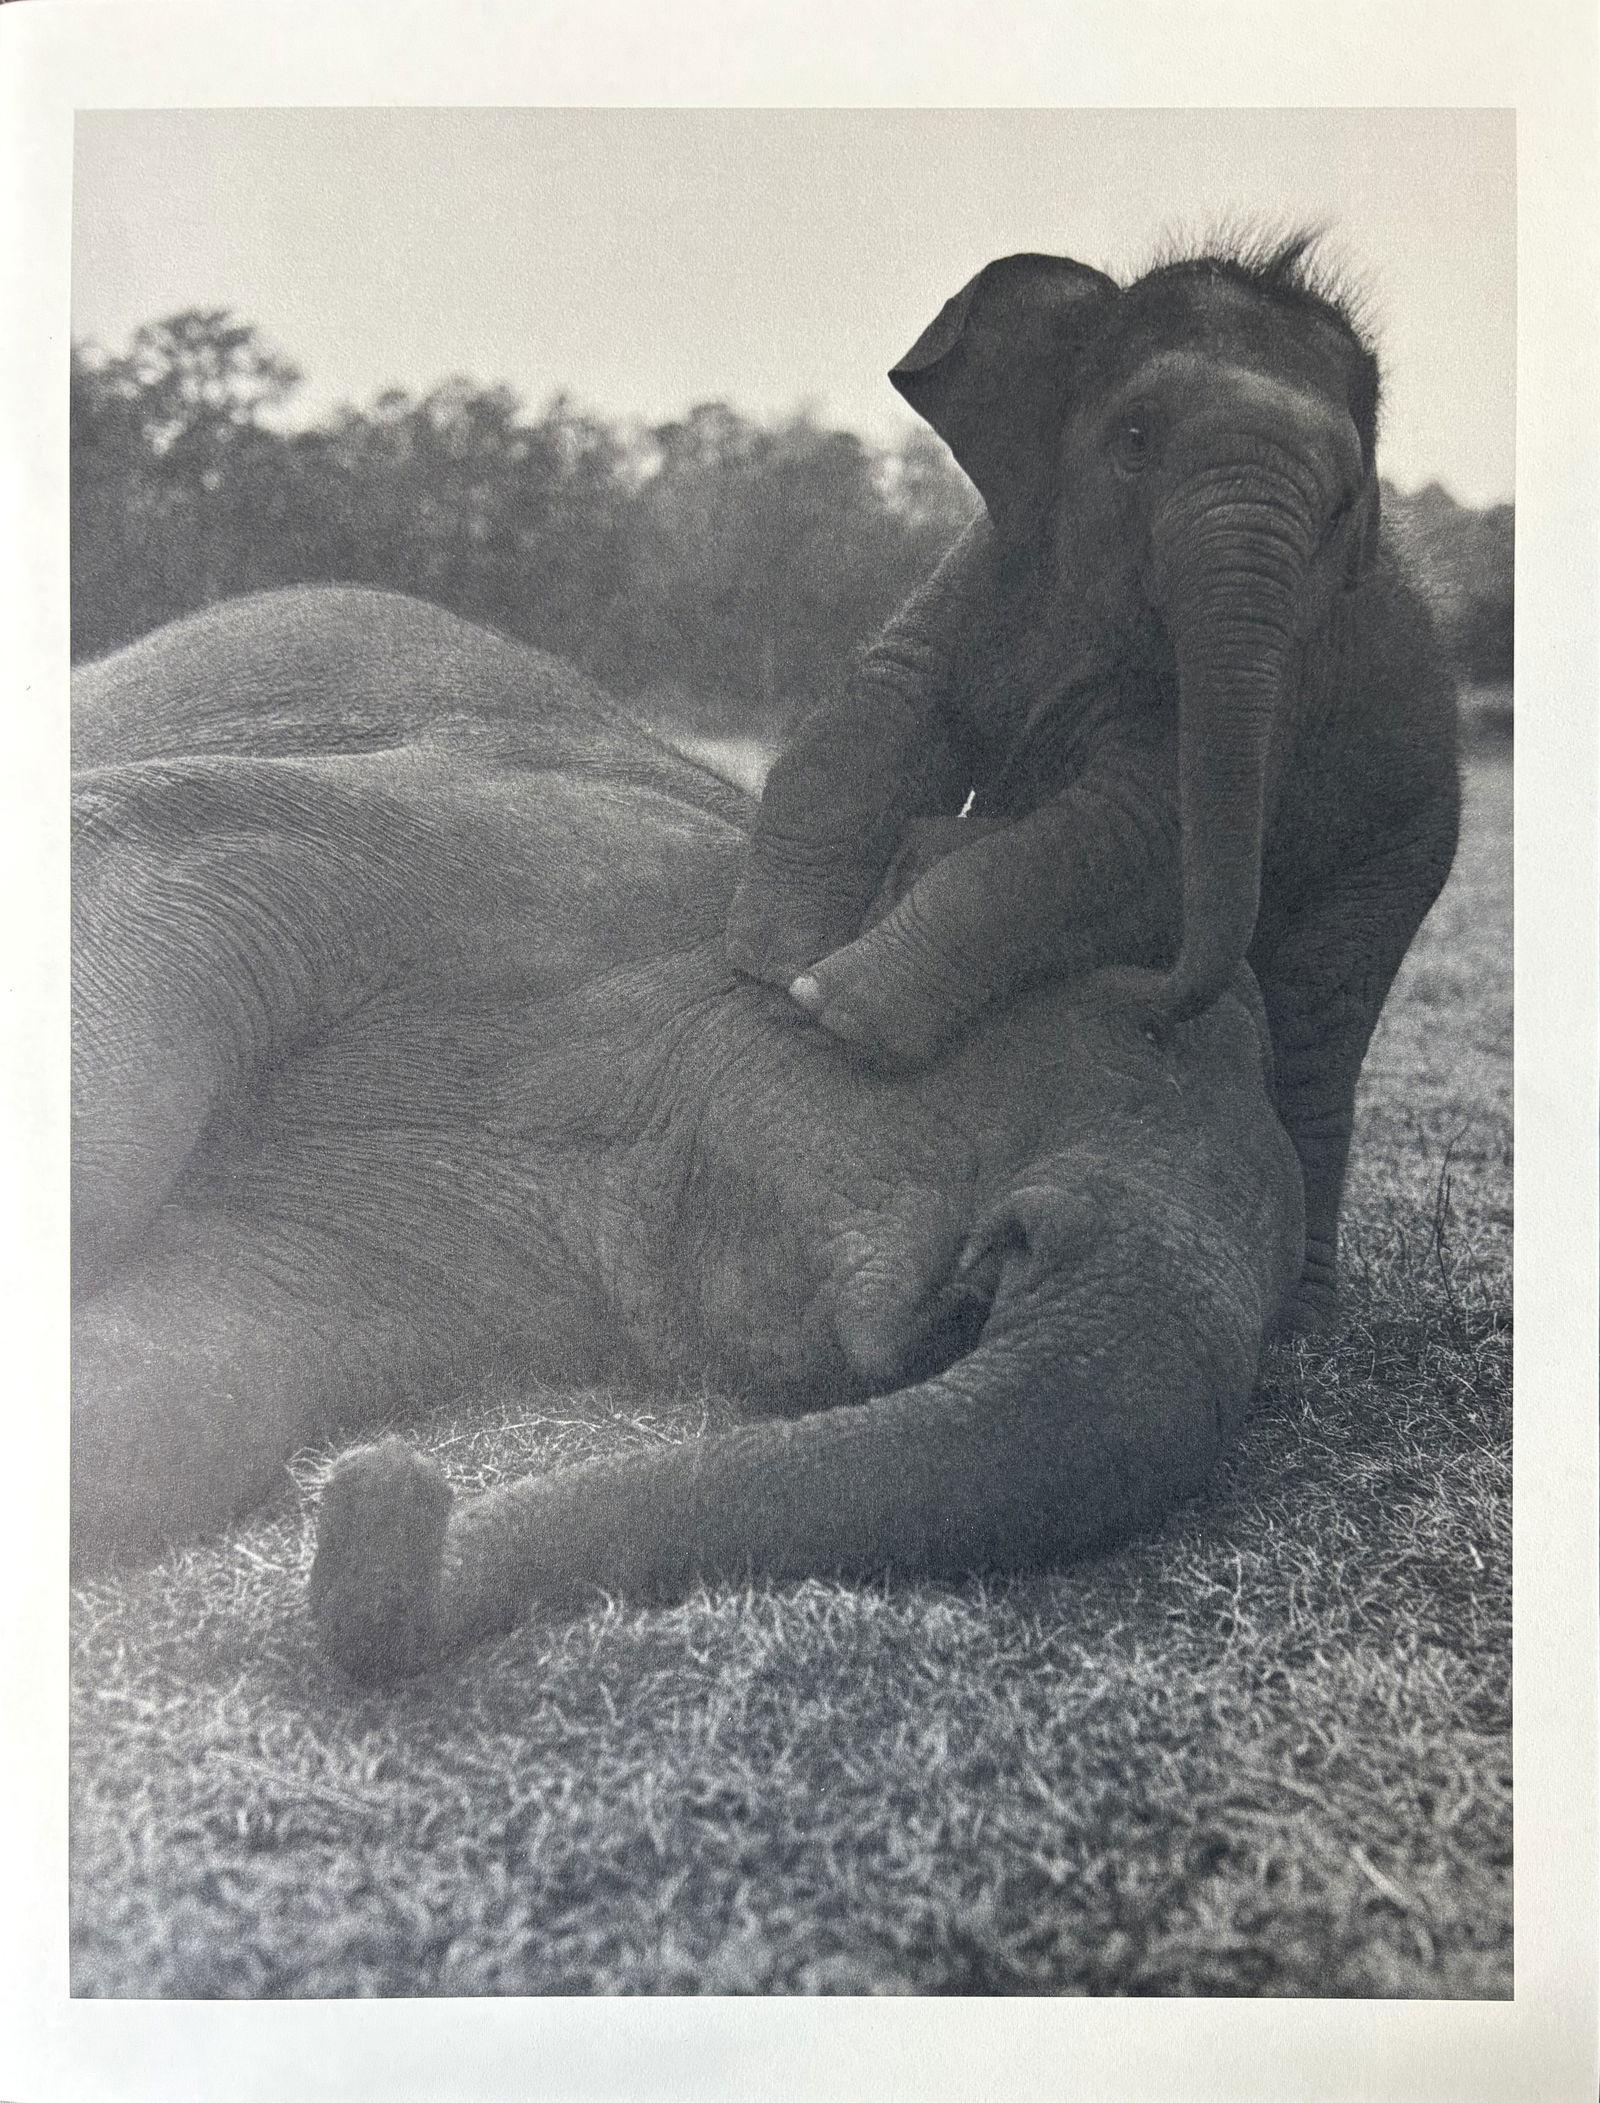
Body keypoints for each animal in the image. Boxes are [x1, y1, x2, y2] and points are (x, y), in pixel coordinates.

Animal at [726, 234, 1461, 1326]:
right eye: (1134, 439)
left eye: (1340, 506)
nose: (1150, 1013)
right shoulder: (987, 559)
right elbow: (874, 717)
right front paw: (773, 974)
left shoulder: (1292, 668)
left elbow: (1134, 836)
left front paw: (838, 1009)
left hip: (1407, 839)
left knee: (1321, 1019)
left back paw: (1303, 1324)